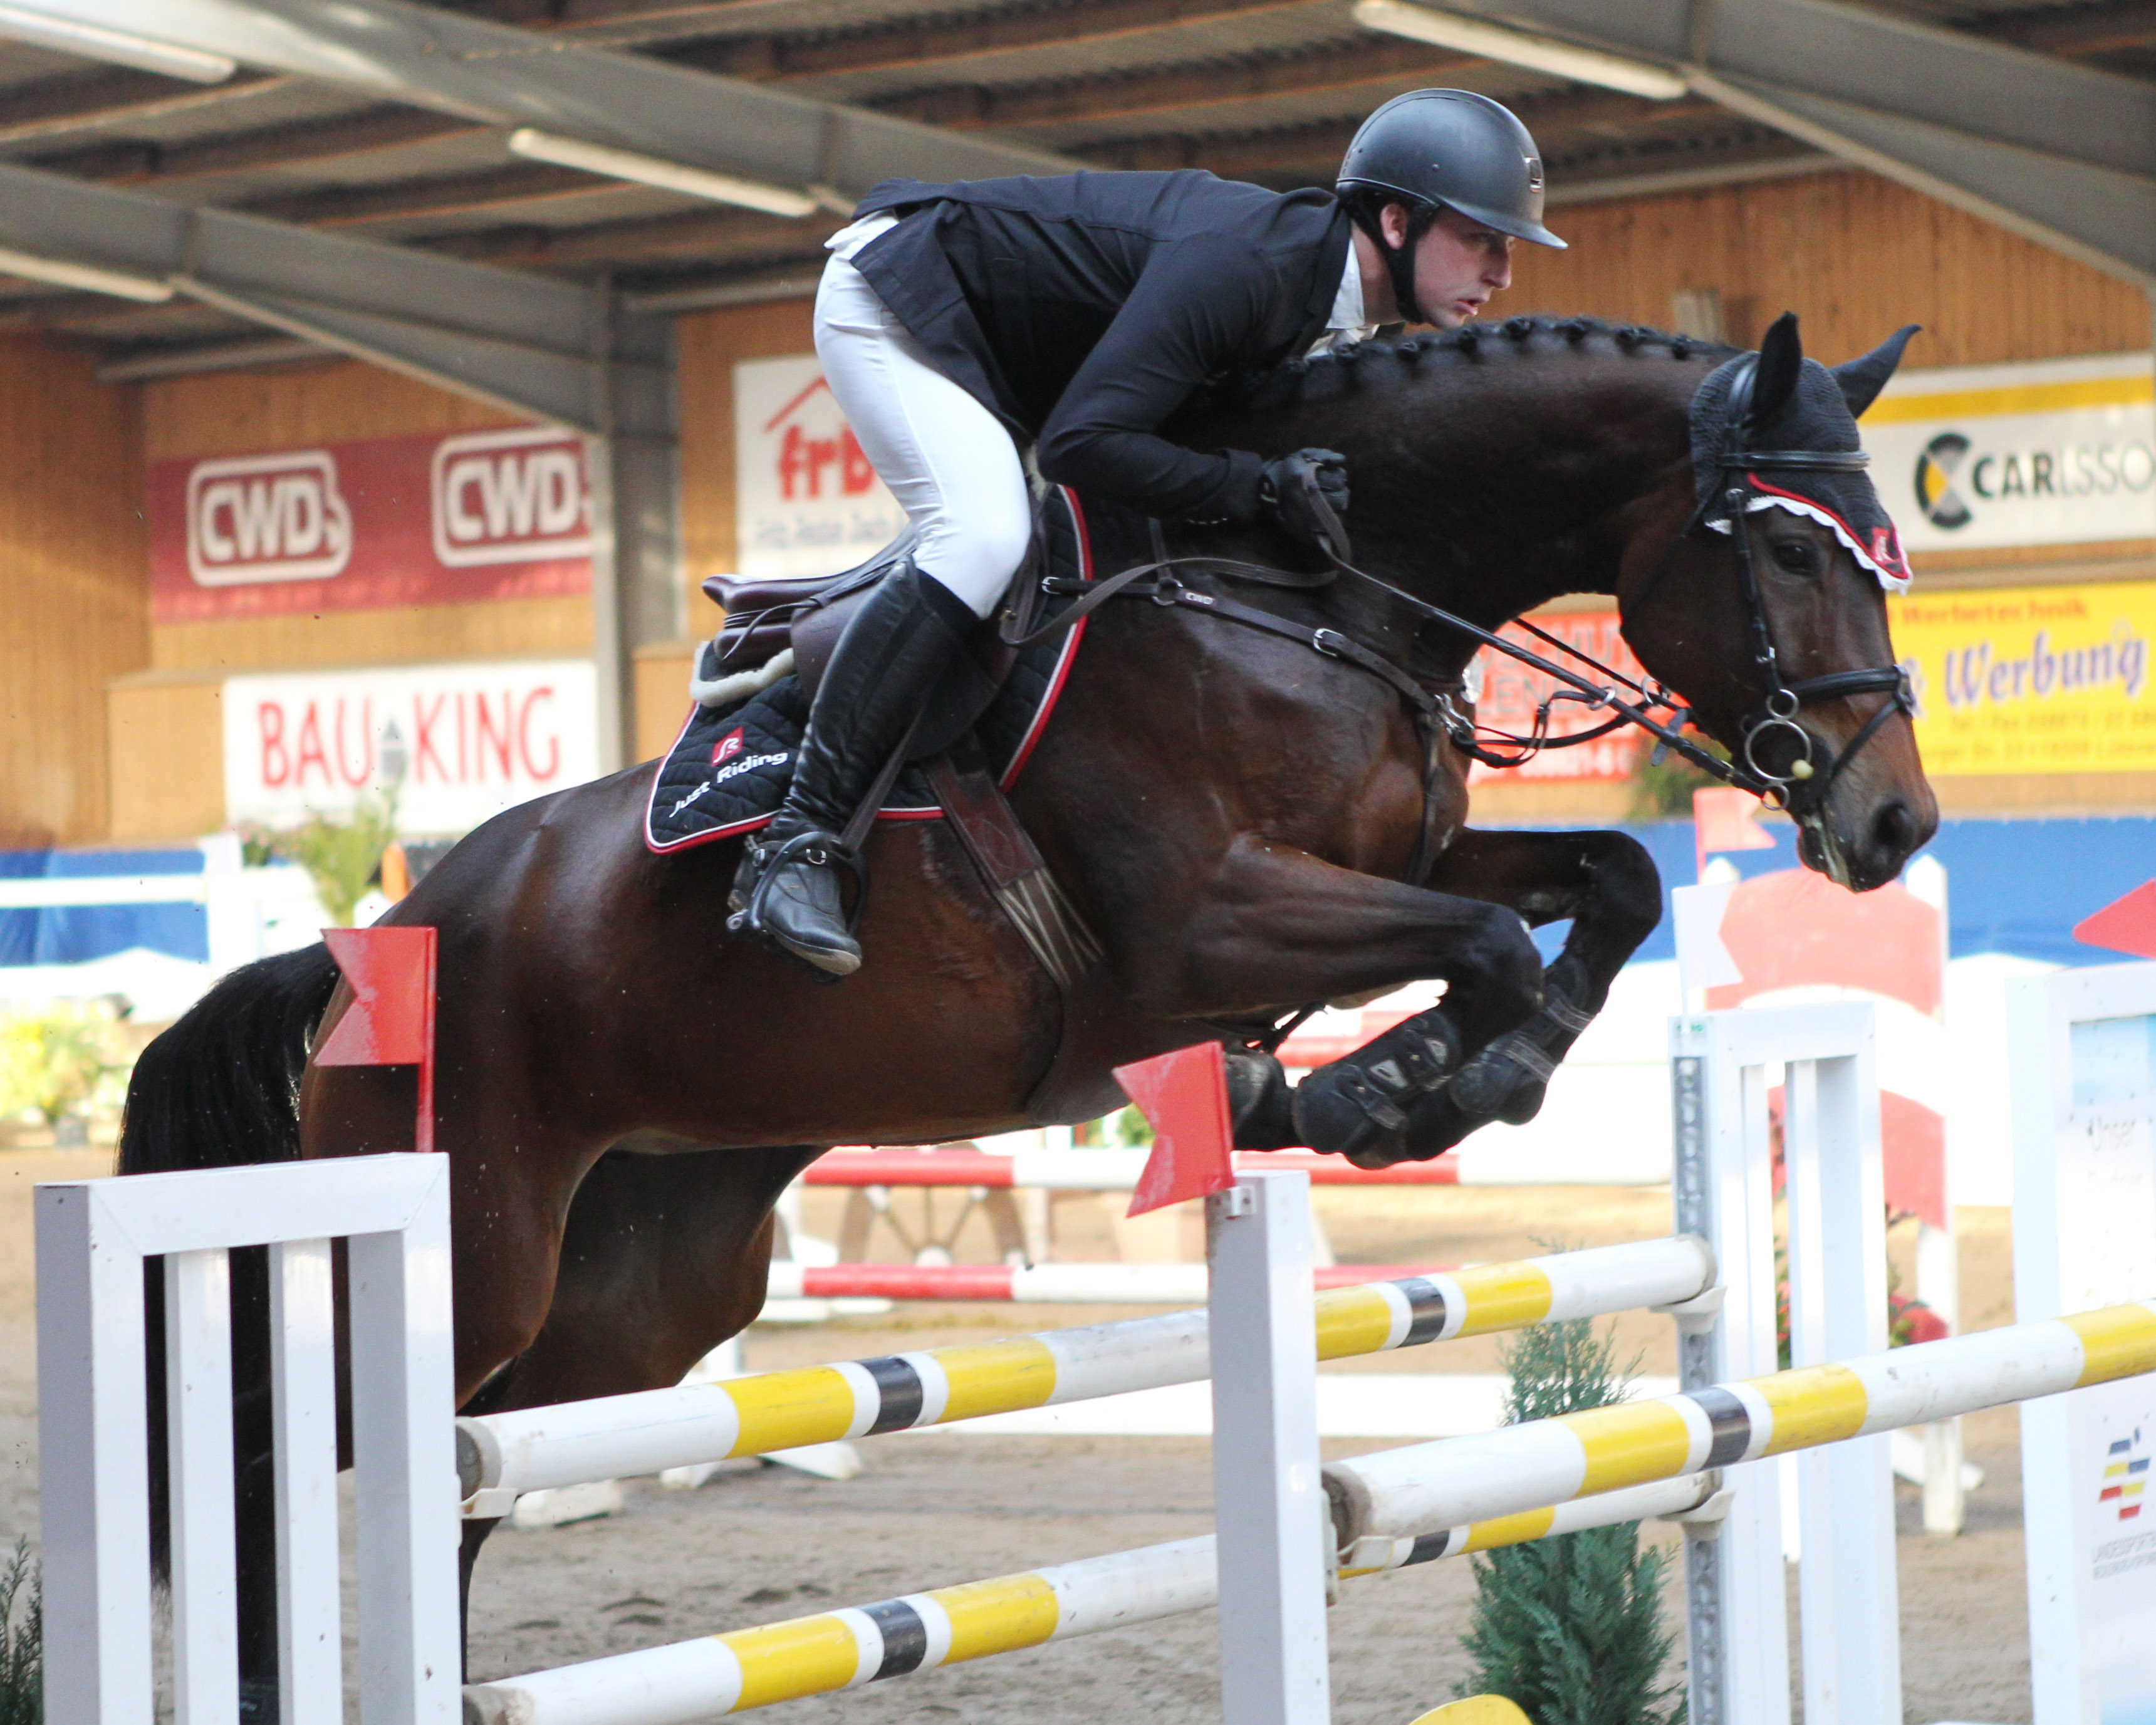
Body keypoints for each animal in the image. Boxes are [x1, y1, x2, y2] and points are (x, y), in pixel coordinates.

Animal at [118, 306, 1940, 1699]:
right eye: (1791, 548)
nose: (1892, 825)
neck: (1310, 594)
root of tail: (378, 939)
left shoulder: (1404, 863)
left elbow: (1607, 883)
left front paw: (1405, 1081)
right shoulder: (1207, 924)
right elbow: (1483, 947)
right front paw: (1385, 1091)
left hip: (633, 1295)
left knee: (465, 1482)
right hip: (466, 1246)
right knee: (279, 1452)